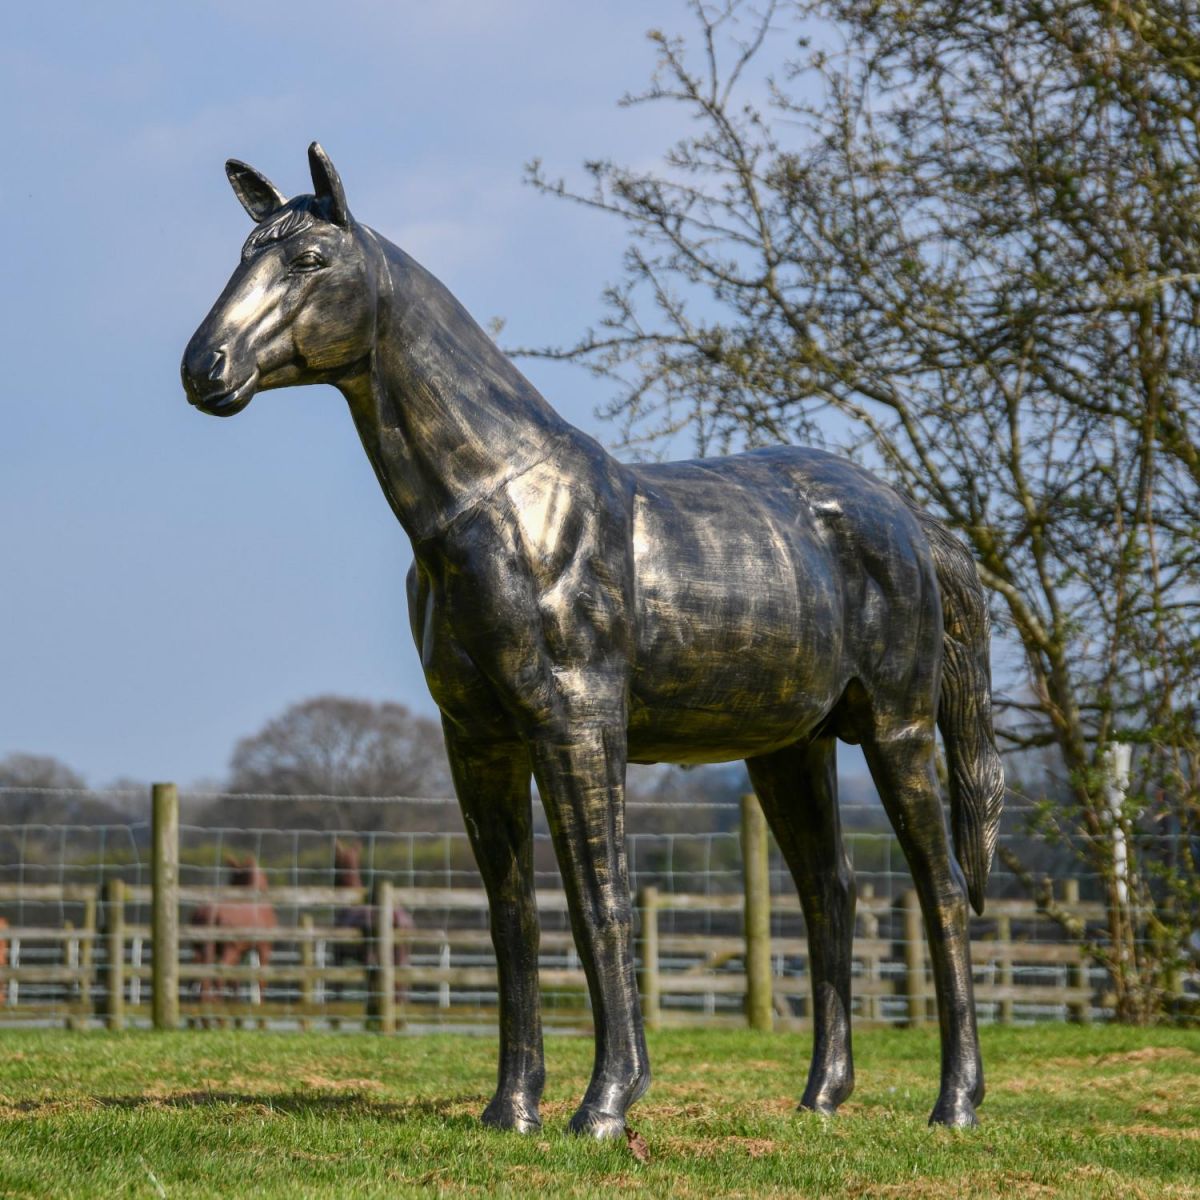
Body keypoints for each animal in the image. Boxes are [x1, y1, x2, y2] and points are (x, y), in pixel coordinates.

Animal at [190, 853, 278, 1004]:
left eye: (233, 879)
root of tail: (209, 913)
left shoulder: (241, 952)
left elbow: (235, 980)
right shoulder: (264, 948)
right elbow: (261, 980)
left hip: (200, 948)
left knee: (202, 972)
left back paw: (206, 1000)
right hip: (229, 949)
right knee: (219, 973)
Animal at [331, 839, 414, 999]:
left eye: (336, 860)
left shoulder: (338, 954)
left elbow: (338, 988)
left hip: (373, 957)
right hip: (401, 957)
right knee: (400, 988)